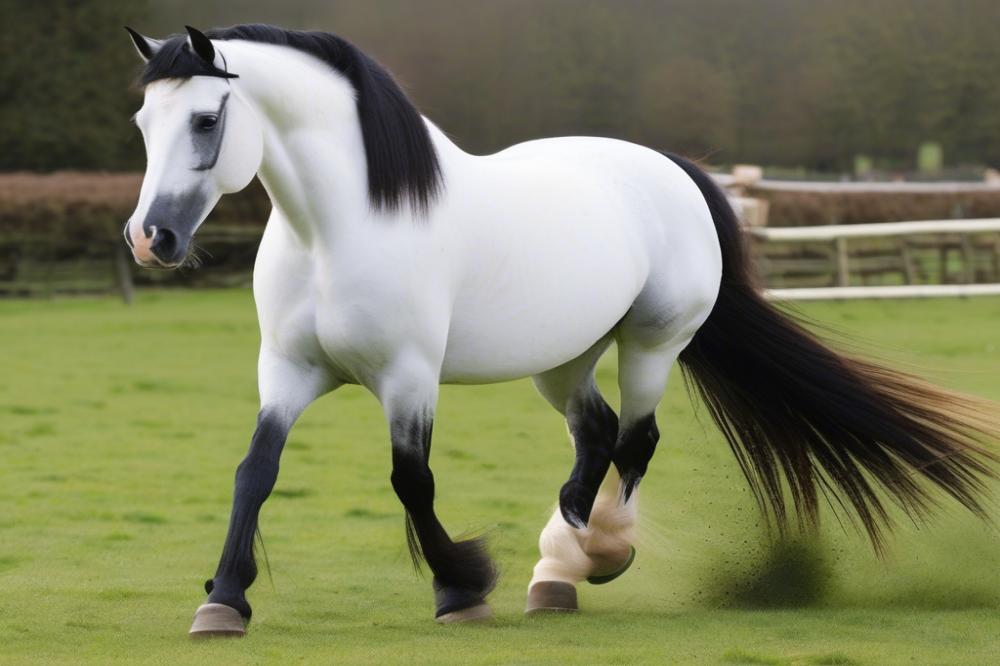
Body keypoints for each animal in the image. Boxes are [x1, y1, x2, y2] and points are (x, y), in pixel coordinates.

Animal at [121, 27, 996, 640]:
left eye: (205, 118)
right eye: (142, 120)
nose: (150, 239)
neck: (343, 227)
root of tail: (674, 171)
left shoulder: (408, 376)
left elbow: (412, 481)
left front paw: (461, 588)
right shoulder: (287, 372)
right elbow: (255, 472)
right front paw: (224, 601)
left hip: (652, 346)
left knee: (635, 441)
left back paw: (595, 554)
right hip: (564, 359)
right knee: (596, 434)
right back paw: (557, 569)